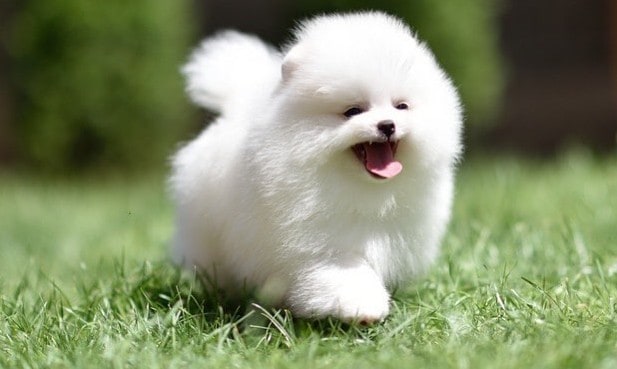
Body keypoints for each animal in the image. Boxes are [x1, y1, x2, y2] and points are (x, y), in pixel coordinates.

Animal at [170, 11, 462, 322]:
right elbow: (344, 271)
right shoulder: (321, 241)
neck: (360, 187)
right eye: (353, 111)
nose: (387, 125)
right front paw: (361, 307)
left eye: (401, 106)